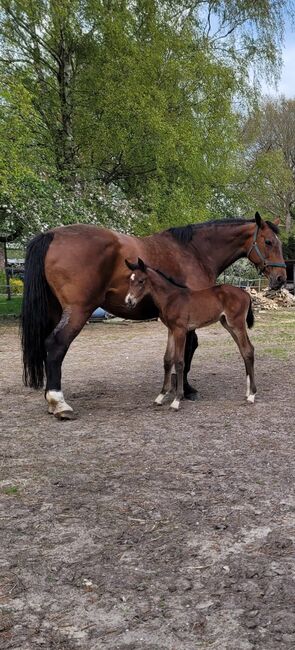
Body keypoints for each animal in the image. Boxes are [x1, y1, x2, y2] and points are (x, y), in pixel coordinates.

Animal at [125, 258, 256, 410]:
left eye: (141, 281)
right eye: (130, 280)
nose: (128, 301)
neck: (171, 298)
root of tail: (246, 294)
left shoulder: (180, 330)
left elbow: (179, 361)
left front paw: (176, 400)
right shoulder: (171, 330)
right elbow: (167, 360)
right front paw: (161, 396)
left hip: (237, 324)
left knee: (247, 350)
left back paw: (252, 395)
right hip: (228, 324)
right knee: (245, 350)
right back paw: (247, 392)